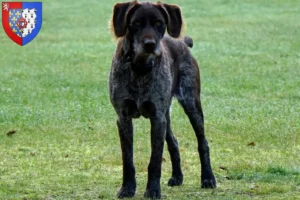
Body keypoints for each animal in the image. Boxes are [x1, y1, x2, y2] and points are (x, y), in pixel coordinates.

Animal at [109, 0, 217, 198]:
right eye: (136, 23)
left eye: (159, 23)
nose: (150, 44)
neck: (140, 68)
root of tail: (182, 42)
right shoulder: (124, 118)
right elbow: (127, 159)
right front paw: (127, 188)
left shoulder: (157, 118)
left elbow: (155, 160)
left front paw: (152, 190)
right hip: (166, 116)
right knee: (173, 143)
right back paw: (177, 177)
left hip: (191, 104)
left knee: (203, 143)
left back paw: (208, 178)